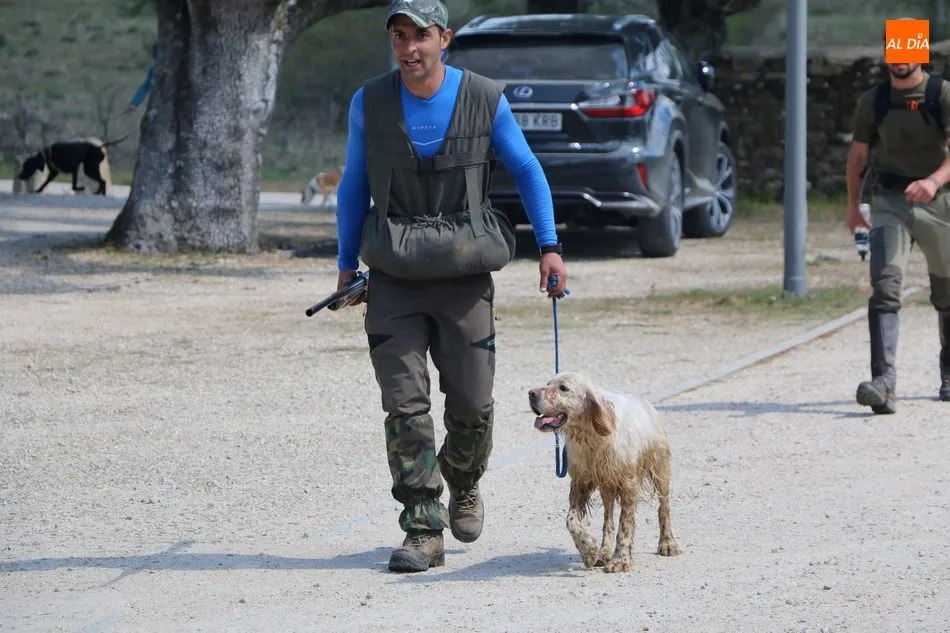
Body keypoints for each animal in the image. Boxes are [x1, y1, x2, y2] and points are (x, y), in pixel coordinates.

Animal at [528, 372, 681, 573]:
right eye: (547, 383)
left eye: (563, 388)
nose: (531, 393)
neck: (592, 437)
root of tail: (647, 405)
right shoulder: (580, 482)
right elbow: (571, 520)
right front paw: (589, 551)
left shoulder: (628, 484)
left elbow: (625, 526)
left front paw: (620, 560)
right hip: (606, 487)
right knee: (608, 520)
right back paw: (604, 552)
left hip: (660, 469)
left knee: (664, 507)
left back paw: (667, 543)